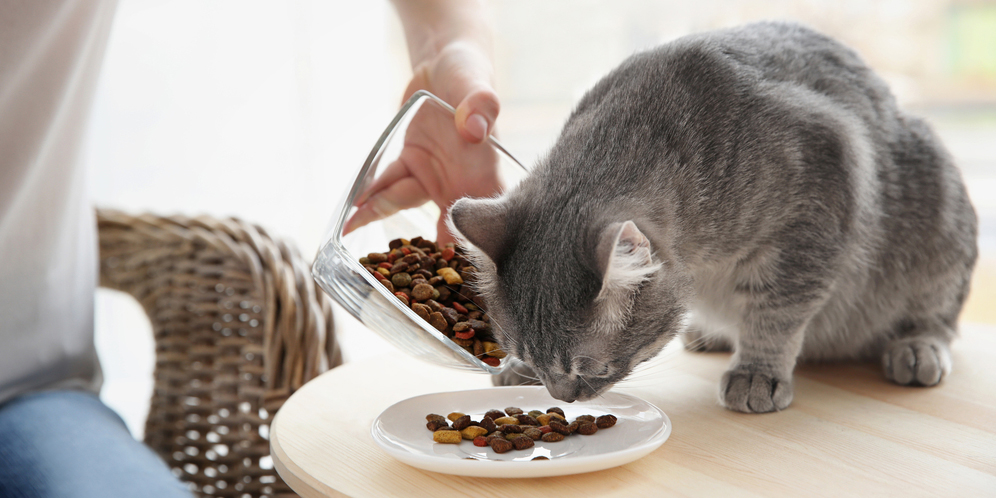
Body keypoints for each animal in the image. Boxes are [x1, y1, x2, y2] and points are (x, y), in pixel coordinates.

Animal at [448, 21, 976, 412]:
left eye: (589, 368)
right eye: (528, 355)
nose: (561, 398)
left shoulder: (820, 202)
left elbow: (777, 312)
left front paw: (757, 371)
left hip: (940, 215)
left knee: (937, 317)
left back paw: (916, 348)